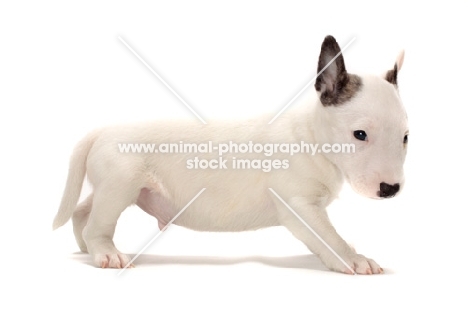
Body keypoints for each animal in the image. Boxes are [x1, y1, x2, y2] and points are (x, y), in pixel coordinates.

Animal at [53, 36, 408, 276]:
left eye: (406, 137)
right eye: (359, 134)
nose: (391, 190)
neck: (309, 136)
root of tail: (102, 131)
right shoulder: (300, 205)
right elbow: (331, 237)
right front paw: (355, 259)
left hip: (114, 187)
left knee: (83, 211)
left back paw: (86, 247)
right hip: (120, 185)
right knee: (98, 223)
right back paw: (106, 253)